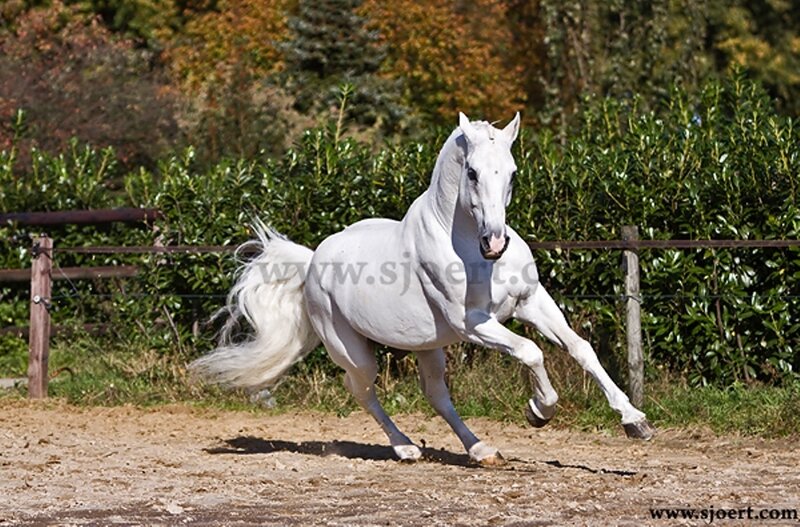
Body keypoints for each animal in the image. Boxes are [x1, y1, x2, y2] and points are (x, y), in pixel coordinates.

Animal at [190, 112, 655, 466]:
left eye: (512, 173)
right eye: (472, 173)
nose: (495, 243)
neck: (470, 250)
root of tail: (312, 261)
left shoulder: (531, 302)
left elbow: (580, 348)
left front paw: (635, 421)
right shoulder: (473, 324)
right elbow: (531, 351)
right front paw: (540, 410)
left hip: (428, 346)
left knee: (435, 395)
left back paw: (481, 450)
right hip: (351, 349)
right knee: (362, 390)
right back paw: (406, 448)